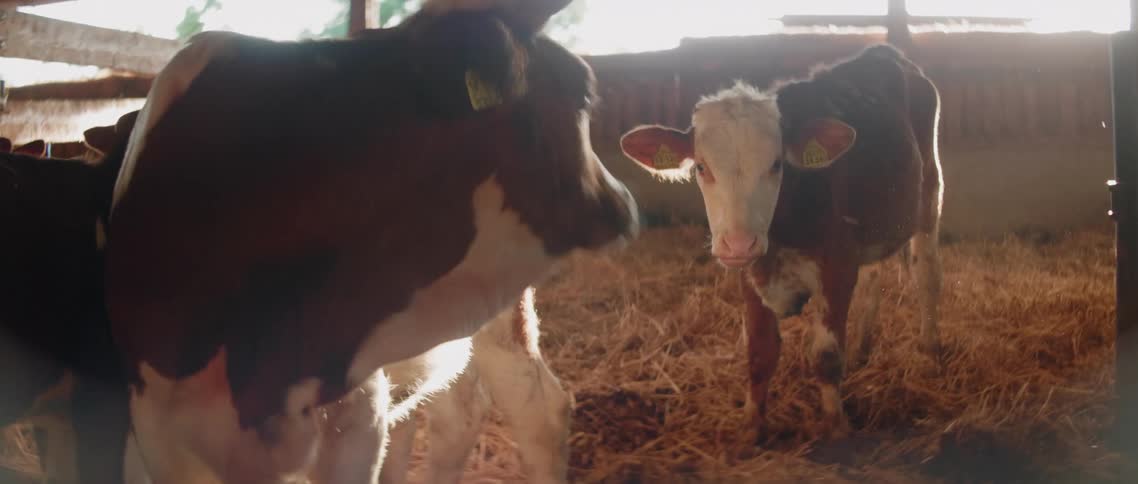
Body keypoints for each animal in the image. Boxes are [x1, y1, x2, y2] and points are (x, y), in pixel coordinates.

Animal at [619, 44, 943, 441]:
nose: (738, 244)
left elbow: (825, 356)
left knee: (926, 274)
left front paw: (836, 426)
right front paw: (751, 428)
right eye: (701, 168)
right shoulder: (750, 275)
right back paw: (861, 349)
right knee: (874, 279)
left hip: (930, 193)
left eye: (776, 164)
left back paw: (929, 351)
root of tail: (884, 51)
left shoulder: (838, 267)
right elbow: (760, 354)